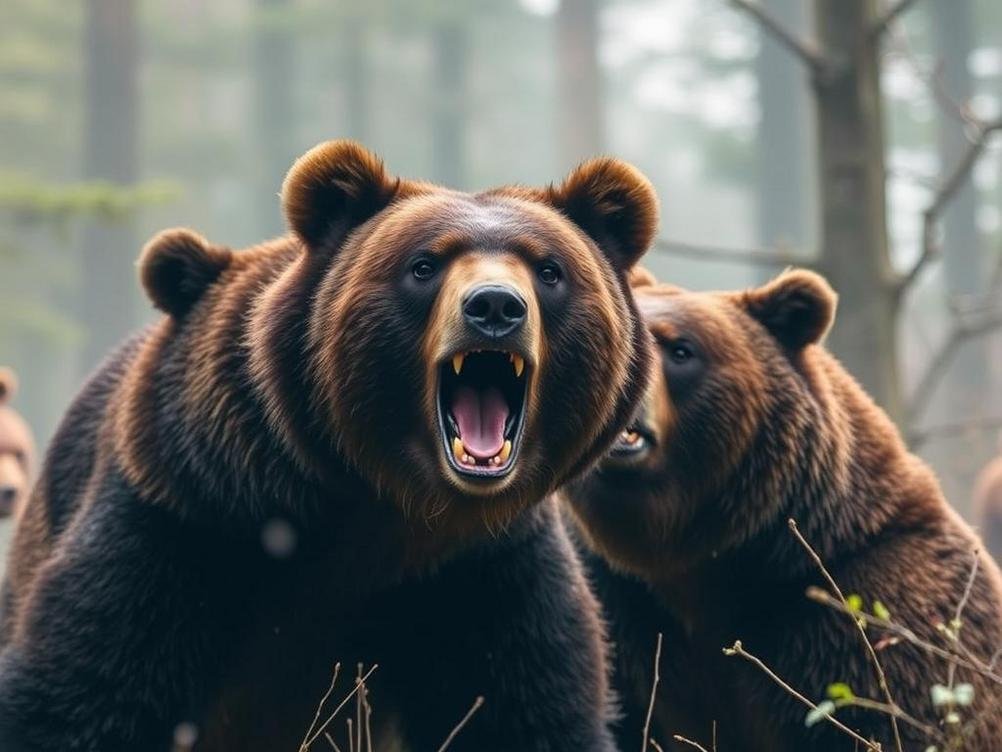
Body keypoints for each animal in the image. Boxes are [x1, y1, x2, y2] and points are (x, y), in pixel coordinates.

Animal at [0, 140, 658, 752]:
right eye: (424, 265)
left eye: (549, 271)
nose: (495, 305)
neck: (387, 506)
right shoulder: (186, 518)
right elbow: (84, 691)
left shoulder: (484, 569)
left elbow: (522, 710)